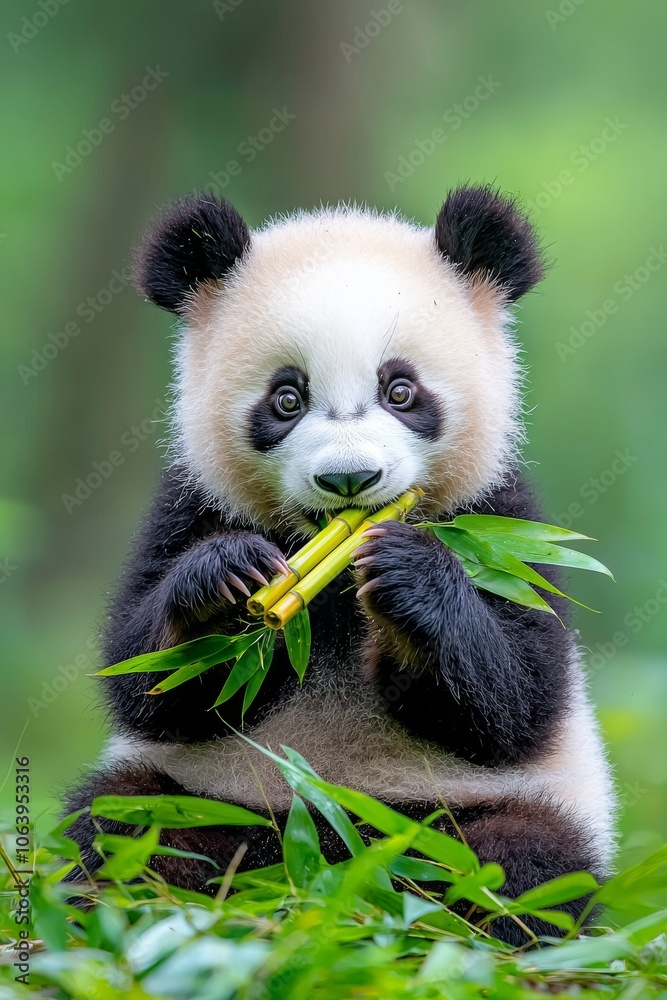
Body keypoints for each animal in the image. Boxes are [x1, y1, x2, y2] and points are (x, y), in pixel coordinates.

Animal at [65, 186, 615, 944]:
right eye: (286, 398)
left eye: (400, 391)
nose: (350, 479)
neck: (329, 574)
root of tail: (328, 864)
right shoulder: (189, 503)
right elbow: (148, 682)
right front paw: (225, 582)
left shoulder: (503, 525)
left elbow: (518, 699)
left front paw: (409, 581)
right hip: (210, 798)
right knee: (121, 828)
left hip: (453, 817)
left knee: (523, 863)